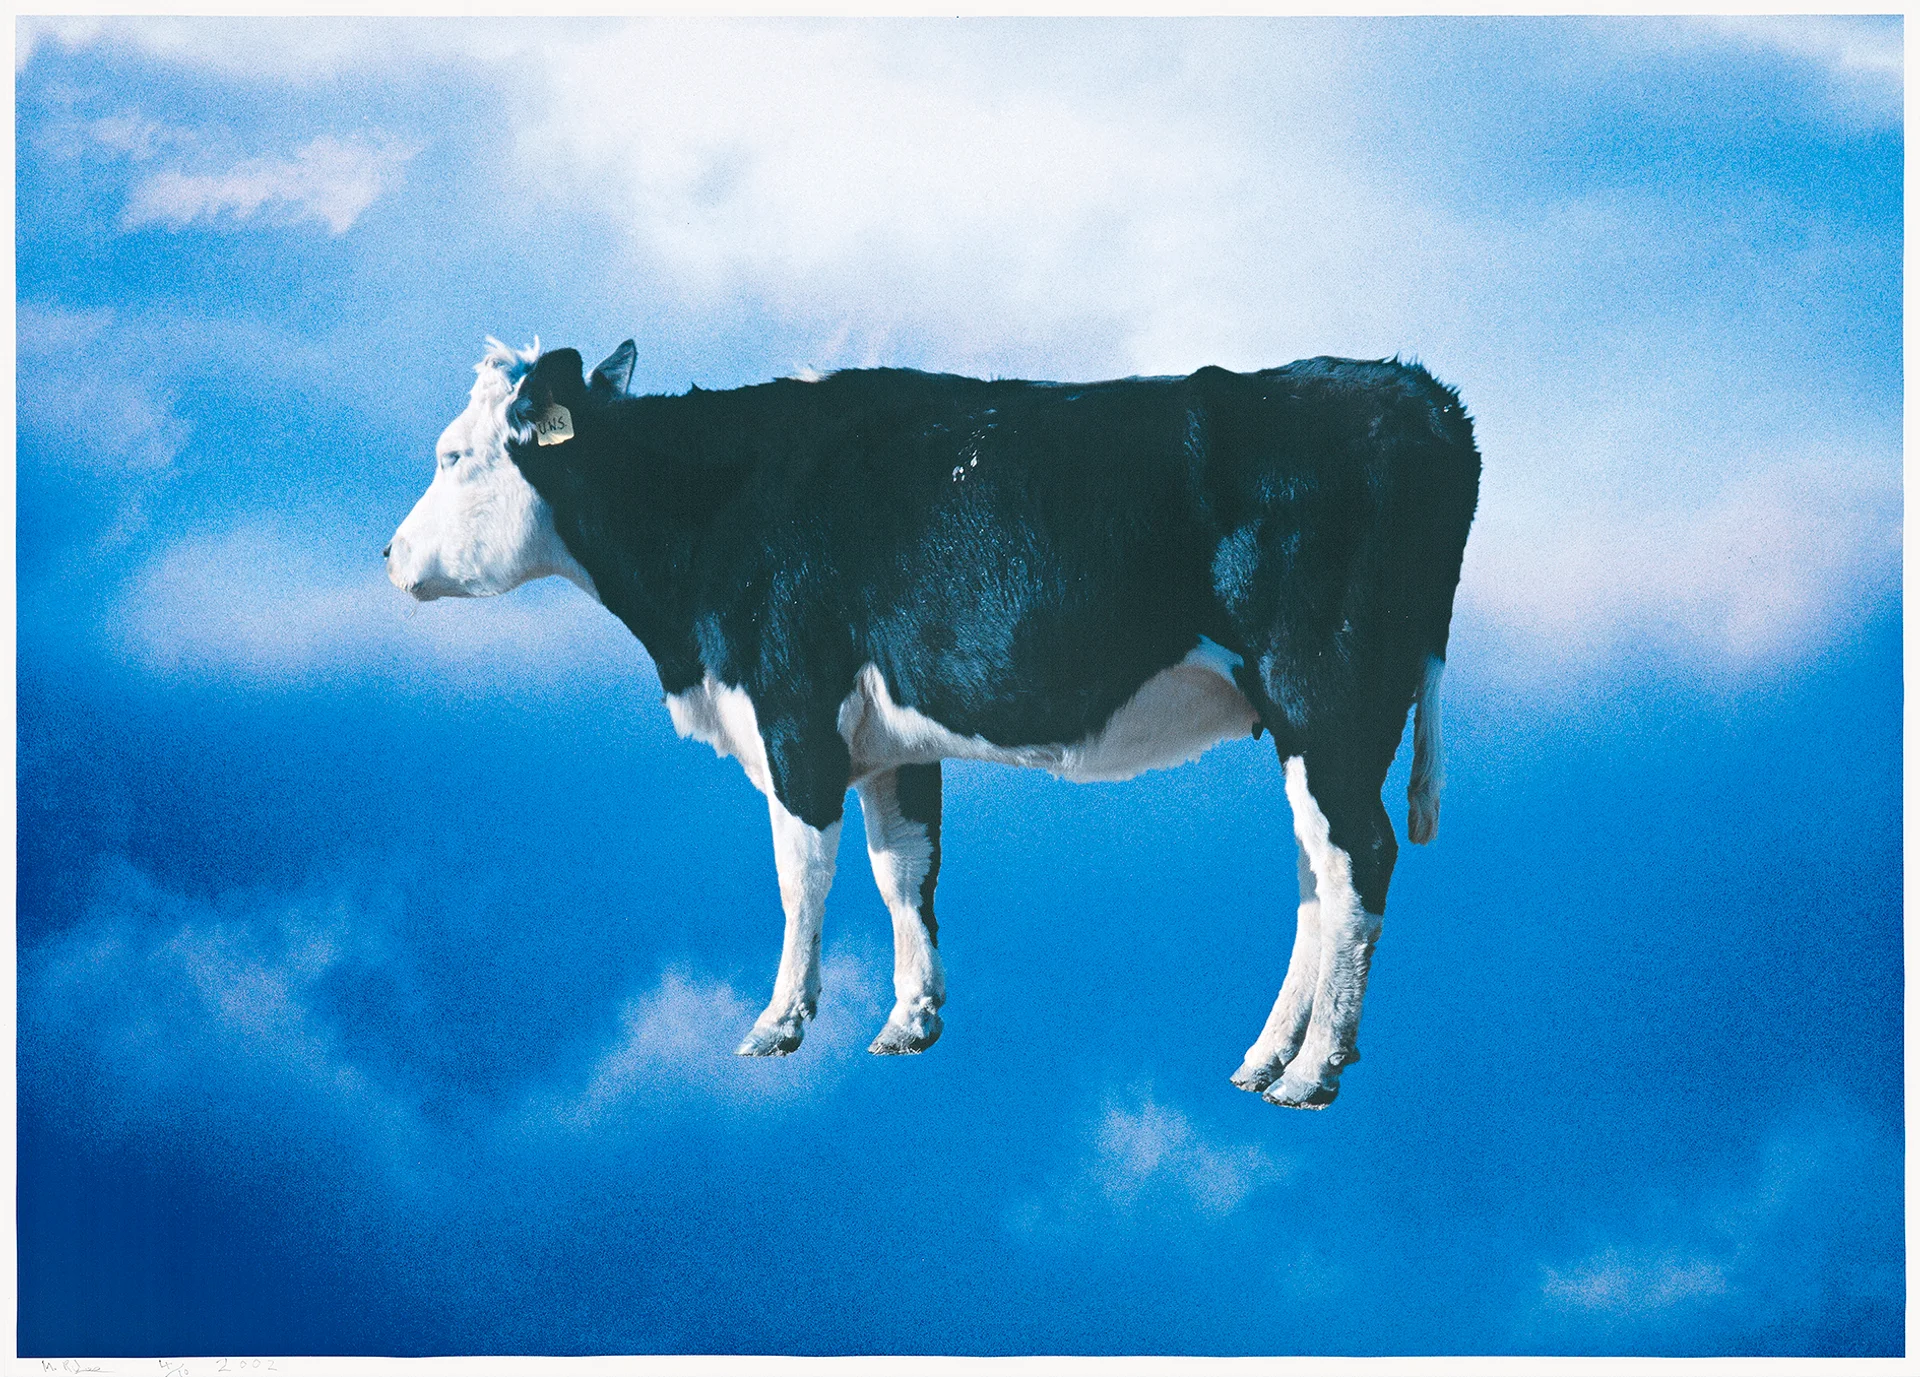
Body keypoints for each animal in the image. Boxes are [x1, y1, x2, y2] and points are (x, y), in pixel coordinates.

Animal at [386, 338, 1479, 1108]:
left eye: (452, 456)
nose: (390, 554)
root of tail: (1413, 390)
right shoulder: (886, 742)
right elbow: (903, 869)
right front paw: (910, 1019)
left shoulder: (793, 712)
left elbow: (802, 874)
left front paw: (779, 1021)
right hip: (1309, 723)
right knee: (1318, 875)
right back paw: (1268, 1055)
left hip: (1325, 696)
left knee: (1358, 859)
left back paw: (1315, 1069)